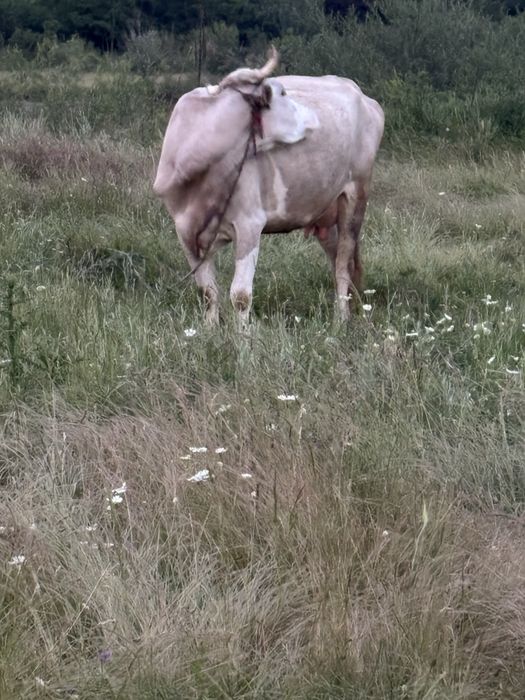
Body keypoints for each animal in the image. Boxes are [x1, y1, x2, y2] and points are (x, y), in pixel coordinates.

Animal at [153, 48, 384, 325]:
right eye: (282, 93)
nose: (315, 118)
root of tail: (362, 95)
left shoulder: (250, 224)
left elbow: (240, 295)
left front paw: (243, 336)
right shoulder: (185, 231)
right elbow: (207, 290)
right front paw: (209, 329)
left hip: (355, 195)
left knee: (343, 264)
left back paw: (341, 320)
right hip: (325, 211)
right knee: (338, 260)